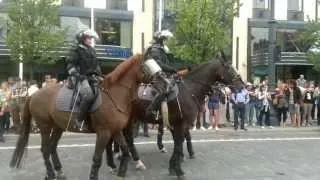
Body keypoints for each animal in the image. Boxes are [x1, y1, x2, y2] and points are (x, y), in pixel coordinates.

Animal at [9, 54, 144, 180]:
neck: (113, 94)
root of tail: (33, 95)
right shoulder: (104, 132)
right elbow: (97, 158)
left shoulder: (115, 130)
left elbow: (125, 150)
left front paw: (121, 171)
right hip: (45, 126)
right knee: (45, 149)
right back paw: (51, 174)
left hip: (58, 127)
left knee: (52, 147)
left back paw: (59, 171)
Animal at [106, 54, 244, 179]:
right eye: (230, 68)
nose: (241, 86)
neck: (189, 90)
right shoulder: (181, 124)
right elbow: (178, 145)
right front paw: (178, 170)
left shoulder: (176, 124)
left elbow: (178, 143)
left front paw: (173, 166)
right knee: (124, 138)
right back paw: (122, 161)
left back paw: (120, 162)